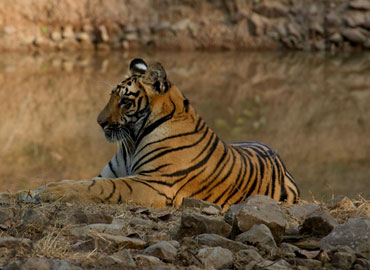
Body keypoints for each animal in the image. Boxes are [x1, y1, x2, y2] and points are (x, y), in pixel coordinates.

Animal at [1, 59, 300, 211]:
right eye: (110, 96)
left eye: (124, 101)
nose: (99, 122)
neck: (133, 140)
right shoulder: (115, 173)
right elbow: (85, 182)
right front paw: (21, 193)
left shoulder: (155, 183)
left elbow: (94, 187)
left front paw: (52, 190)